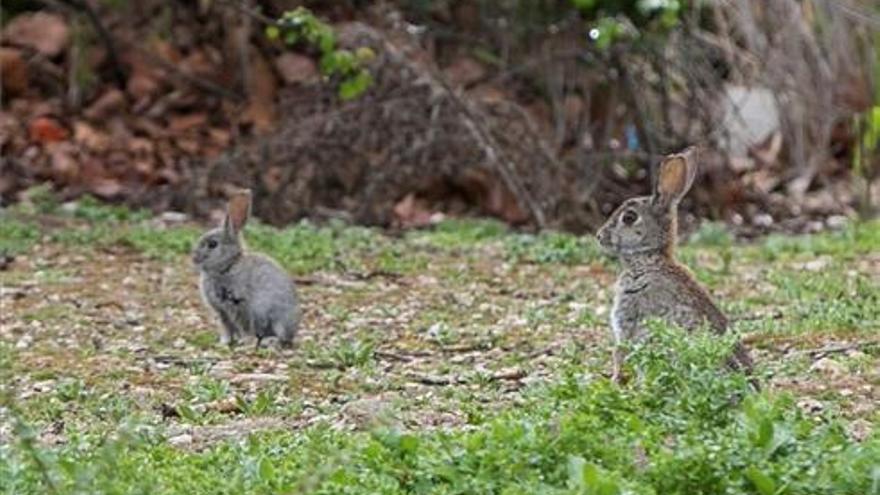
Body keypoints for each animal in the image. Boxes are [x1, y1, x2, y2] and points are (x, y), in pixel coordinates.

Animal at [192, 190, 300, 348]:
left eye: (212, 244)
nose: (194, 259)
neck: (228, 266)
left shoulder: (240, 304)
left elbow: (245, 326)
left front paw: (245, 342)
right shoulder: (222, 312)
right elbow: (227, 328)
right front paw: (224, 343)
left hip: (280, 320)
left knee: (283, 338)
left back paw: (269, 341)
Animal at [600, 147, 756, 384]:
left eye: (629, 218)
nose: (599, 236)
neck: (648, 260)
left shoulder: (628, 321)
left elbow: (619, 353)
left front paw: (615, 380)